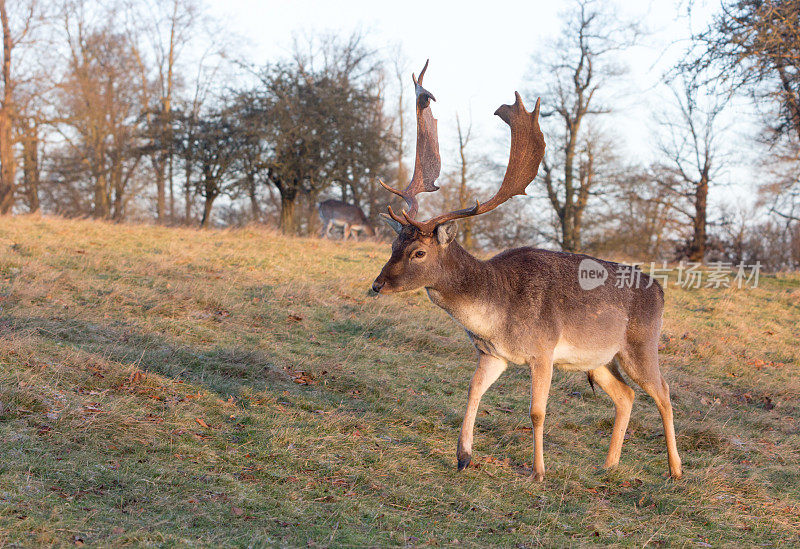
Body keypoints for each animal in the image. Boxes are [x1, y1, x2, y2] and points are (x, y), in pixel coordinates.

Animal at [368, 61, 680, 480]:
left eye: (418, 252)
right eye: (392, 246)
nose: (378, 284)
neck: (495, 315)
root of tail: (660, 290)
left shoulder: (543, 350)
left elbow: (536, 412)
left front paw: (538, 471)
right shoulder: (492, 354)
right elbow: (472, 391)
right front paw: (463, 456)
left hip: (641, 345)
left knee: (664, 392)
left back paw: (675, 470)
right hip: (598, 359)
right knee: (627, 394)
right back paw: (609, 465)